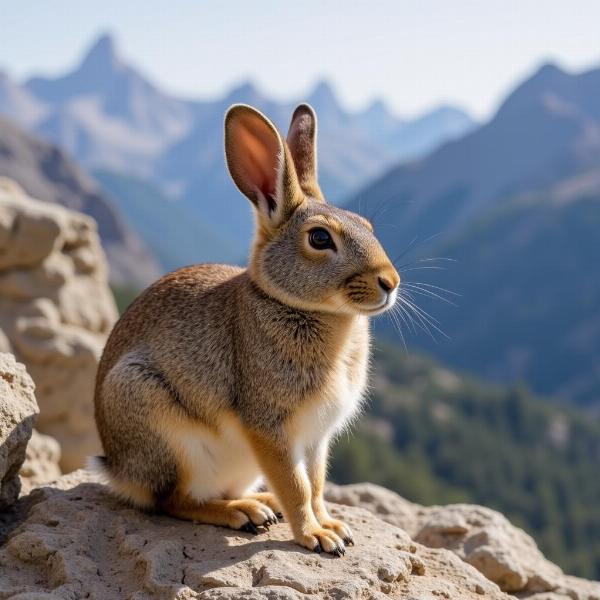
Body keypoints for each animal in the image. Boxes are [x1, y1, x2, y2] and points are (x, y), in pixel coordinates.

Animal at [94, 101, 398, 556]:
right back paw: (242, 514)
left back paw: (261, 503)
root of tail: (116, 468)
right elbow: (297, 486)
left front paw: (333, 526)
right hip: (160, 425)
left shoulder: (316, 439)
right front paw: (316, 537)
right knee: (173, 500)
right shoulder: (270, 428)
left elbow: (316, 484)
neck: (295, 305)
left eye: (368, 225)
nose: (390, 282)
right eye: (320, 238)